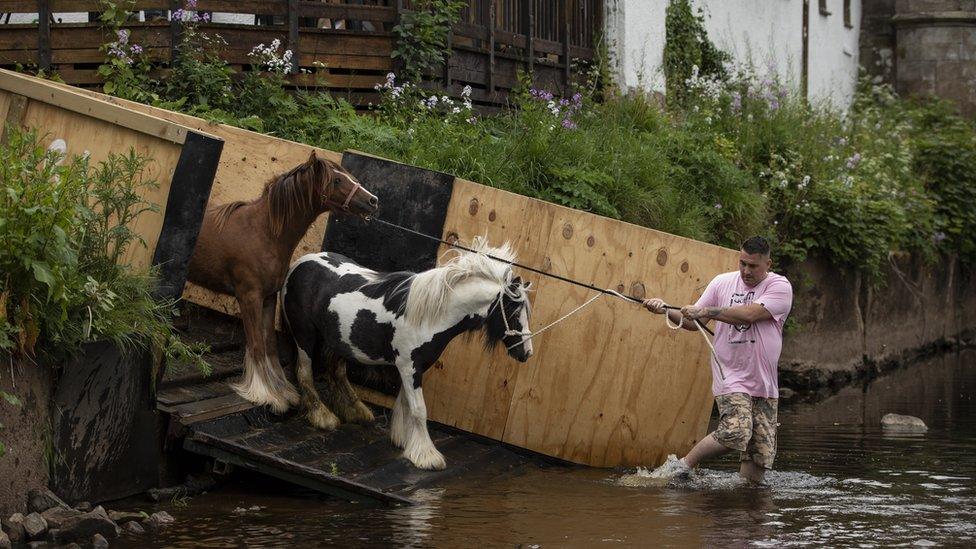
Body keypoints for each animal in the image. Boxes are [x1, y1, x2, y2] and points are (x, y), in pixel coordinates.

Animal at [187, 150, 378, 412]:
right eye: (337, 180)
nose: (372, 200)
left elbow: (269, 346)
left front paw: (282, 391)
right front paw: (263, 394)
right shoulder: (249, 297)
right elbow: (256, 345)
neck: (264, 233)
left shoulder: (268, 298)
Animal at [282, 238, 532, 468]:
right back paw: (323, 417)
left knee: (336, 372)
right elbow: (419, 409)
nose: (527, 353)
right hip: (304, 336)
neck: (431, 316)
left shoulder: (414, 368)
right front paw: (427, 457)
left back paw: (355, 411)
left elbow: (405, 405)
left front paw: (405, 441)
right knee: (304, 373)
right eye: (513, 312)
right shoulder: (408, 367)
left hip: (339, 341)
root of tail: (301, 263)